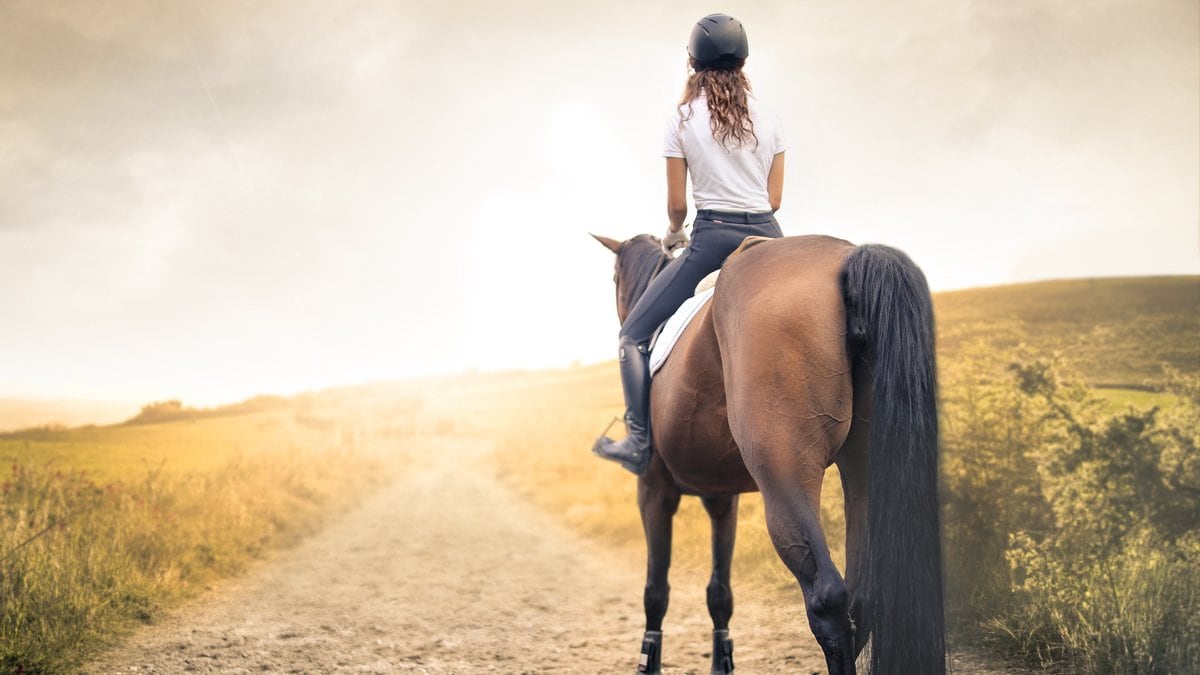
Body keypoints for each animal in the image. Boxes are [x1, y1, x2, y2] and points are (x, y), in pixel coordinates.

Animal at [590, 233, 945, 672]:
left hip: (786, 475)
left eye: (614, 278)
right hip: (865, 471)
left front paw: (649, 661)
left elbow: (656, 591)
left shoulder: (654, 491)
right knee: (861, 601)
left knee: (828, 599)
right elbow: (719, 593)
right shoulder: (722, 499)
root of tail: (848, 257)